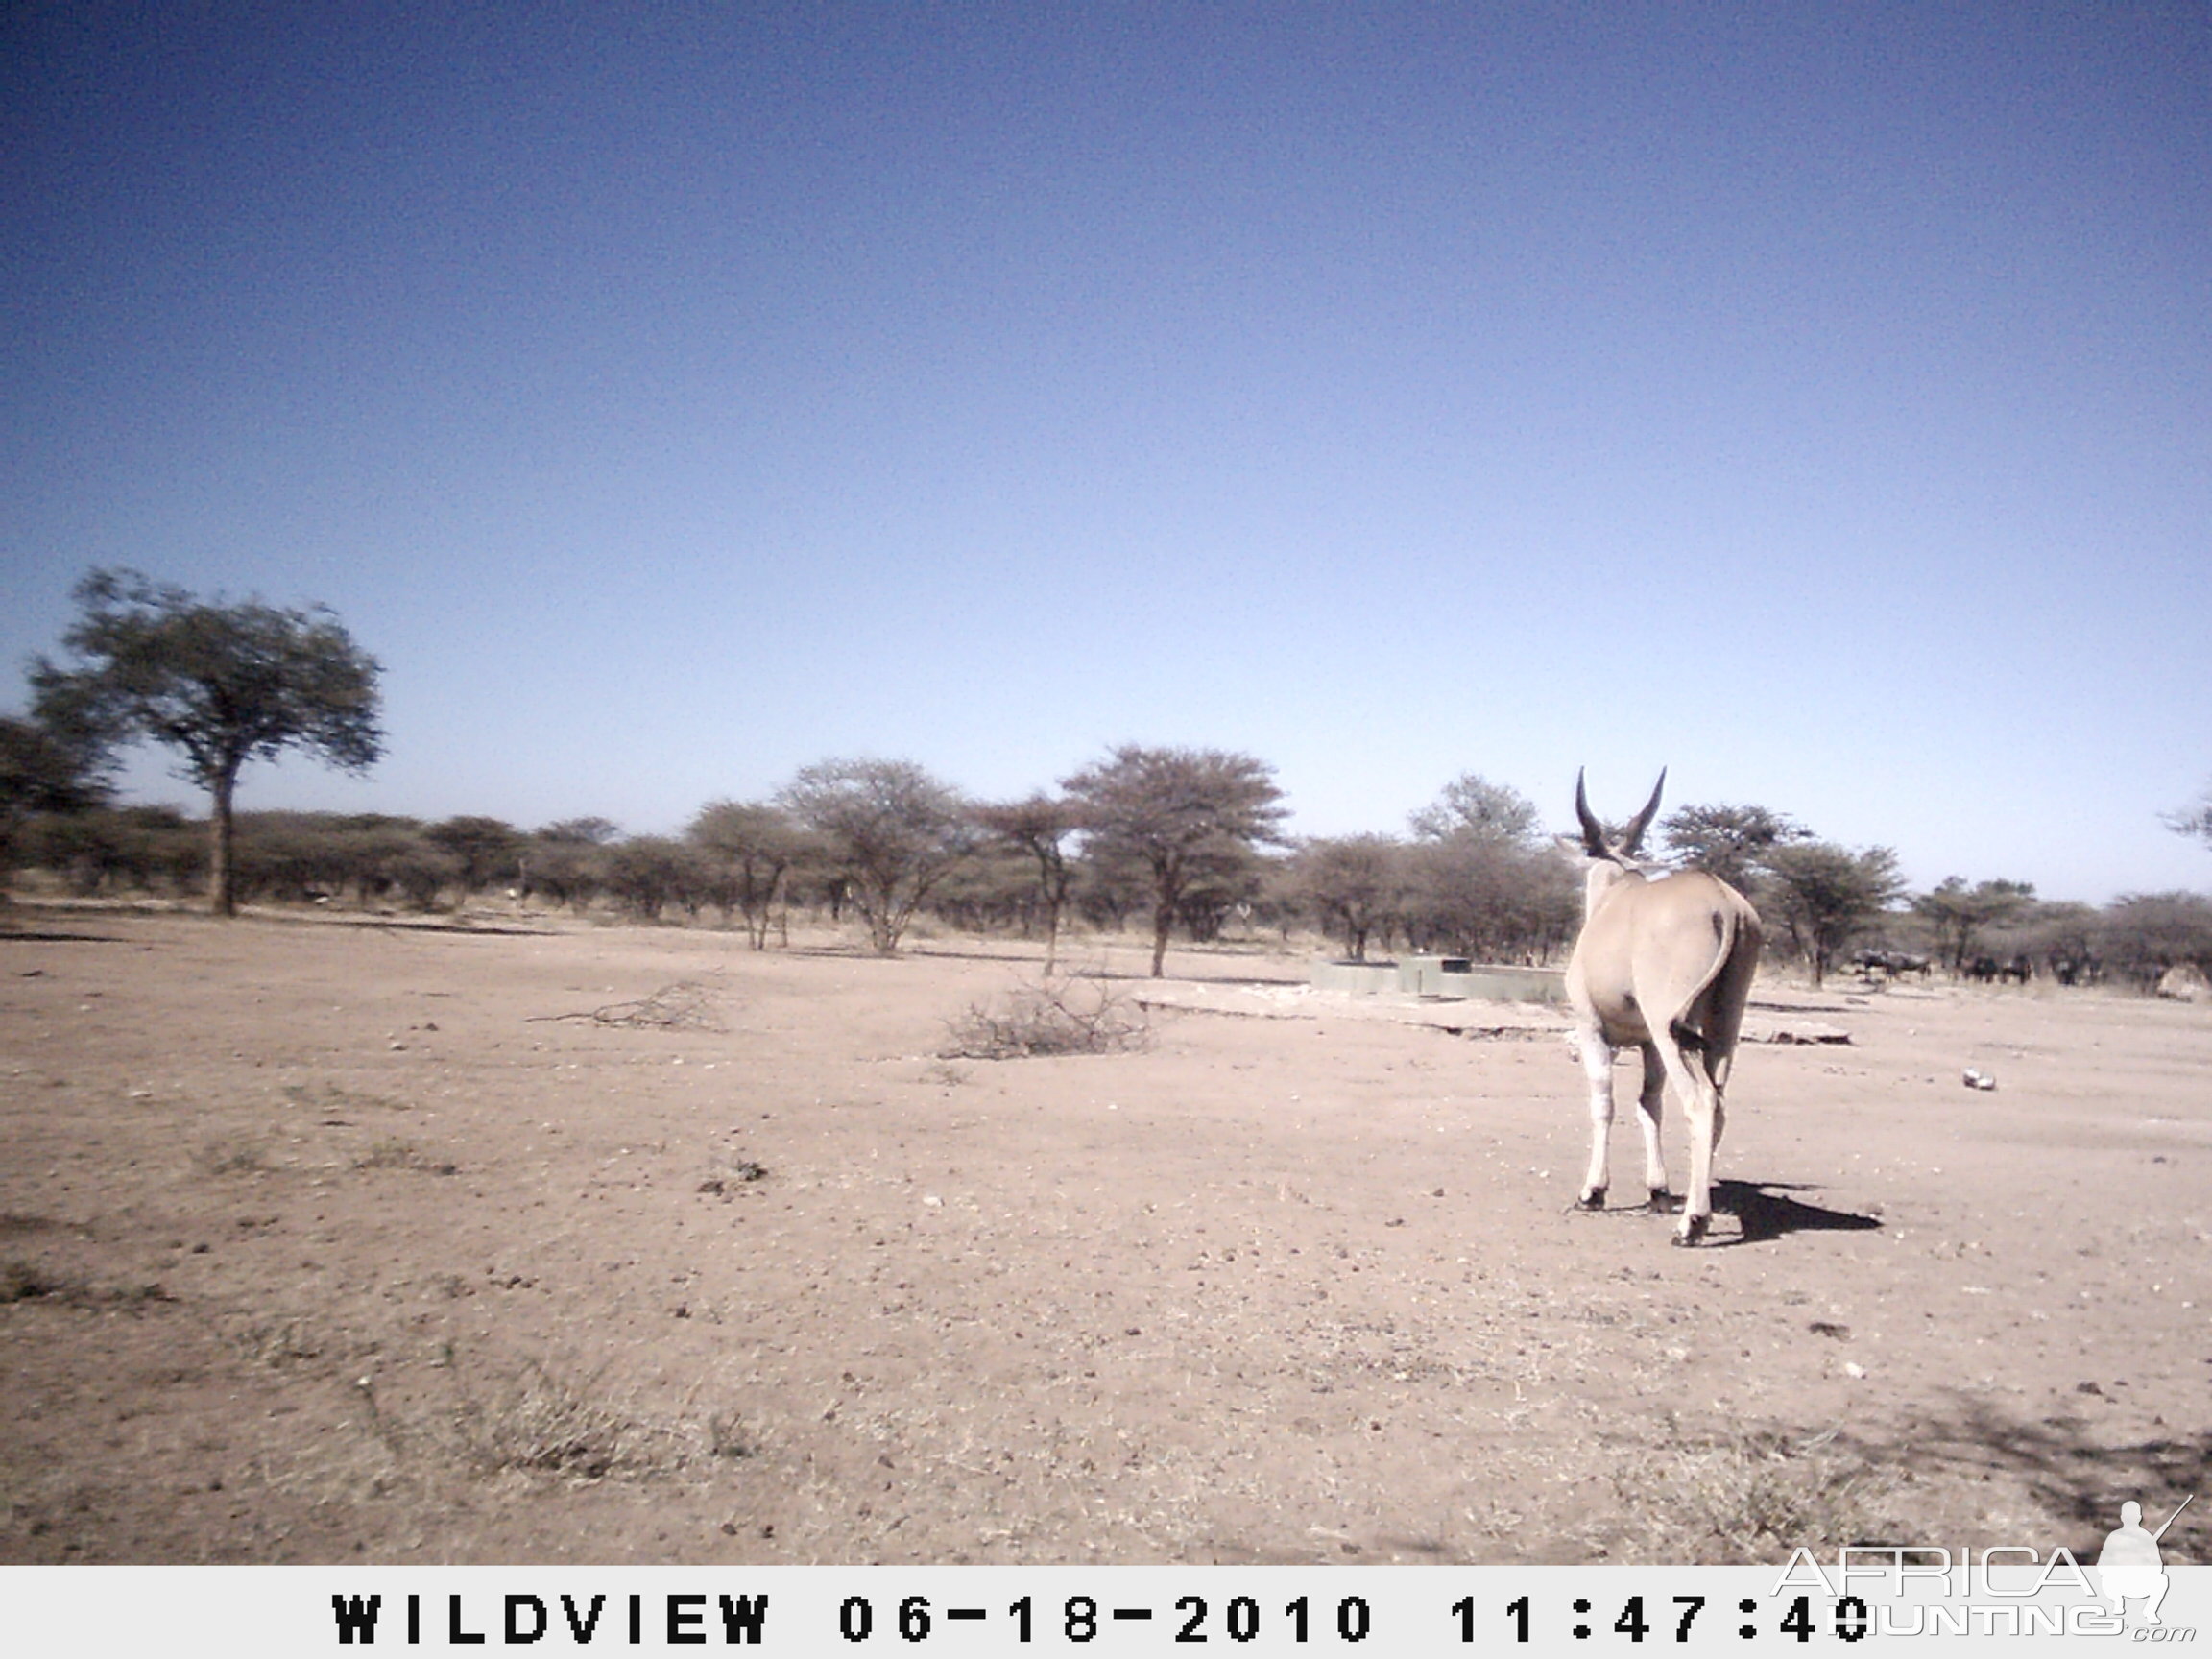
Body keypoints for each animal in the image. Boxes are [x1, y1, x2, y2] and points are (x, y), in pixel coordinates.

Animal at [1566, 774, 1769, 1238]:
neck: (1615, 894)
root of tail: (1724, 904)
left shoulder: (1592, 1028)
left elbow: (1604, 1101)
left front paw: (1593, 1192)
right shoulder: (1649, 1043)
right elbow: (1649, 1104)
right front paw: (1658, 1190)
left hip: (1669, 1027)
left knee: (1701, 1101)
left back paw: (1692, 1222)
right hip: (1720, 1028)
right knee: (1719, 1103)